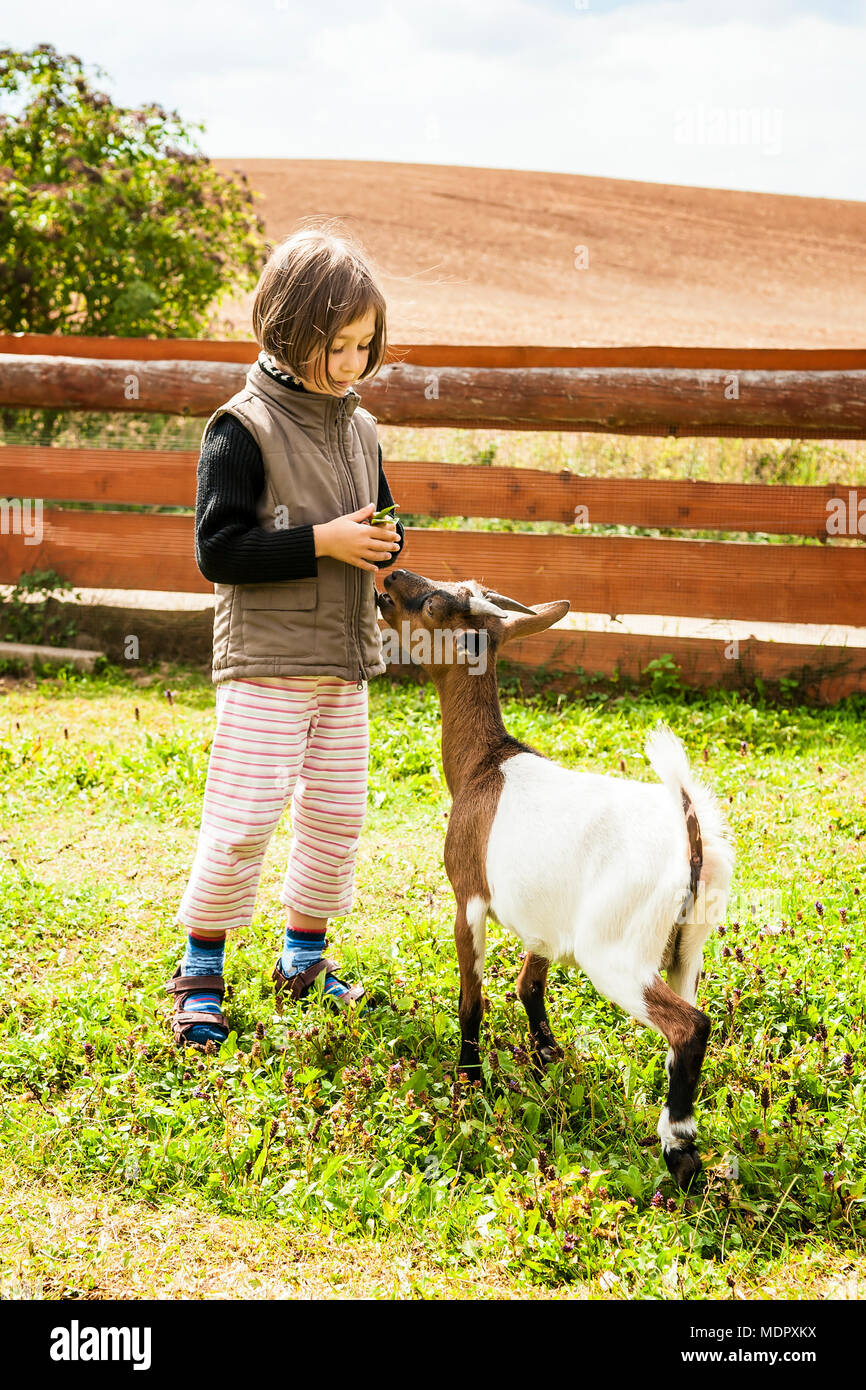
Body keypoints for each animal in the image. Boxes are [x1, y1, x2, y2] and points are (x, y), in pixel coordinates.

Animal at [377, 569, 735, 1187]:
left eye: (431, 604)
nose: (390, 577)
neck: (483, 764)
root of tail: (689, 835)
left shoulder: (468, 896)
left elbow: (472, 998)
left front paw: (469, 1078)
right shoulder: (546, 919)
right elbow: (529, 983)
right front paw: (547, 1057)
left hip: (616, 950)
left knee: (689, 1026)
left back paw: (678, 1150)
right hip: (688, 947)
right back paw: (679, 1133)